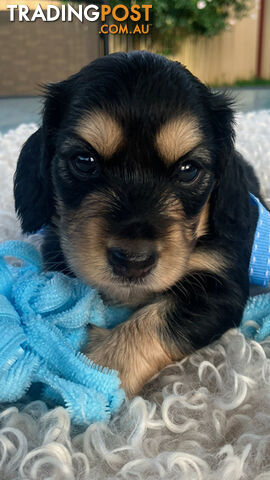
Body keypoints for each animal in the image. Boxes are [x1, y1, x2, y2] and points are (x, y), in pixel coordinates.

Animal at [14, 50, 262, 398]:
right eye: (84, 161)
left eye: (188, 169)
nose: (133, 262)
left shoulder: (222, 286)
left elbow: (155, 321)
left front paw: (93, 377)